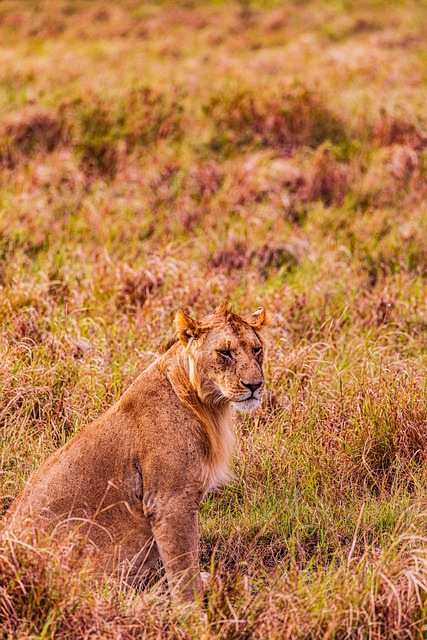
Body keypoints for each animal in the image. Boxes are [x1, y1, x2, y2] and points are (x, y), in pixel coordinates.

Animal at [3, 300, 270, 600]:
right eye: (225, 352)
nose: (255, 386)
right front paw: (192, 610)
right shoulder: (170, 501)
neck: (207, 406)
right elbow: (183, 568)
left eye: (257, 349)